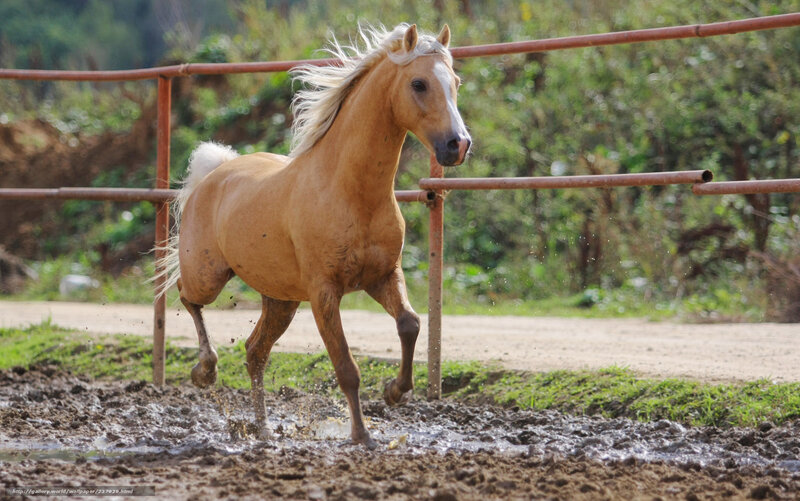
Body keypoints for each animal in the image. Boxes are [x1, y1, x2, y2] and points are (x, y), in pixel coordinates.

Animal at [157, 23, 471, 448]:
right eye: (419, 83)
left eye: (455, 82)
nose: (458, 144)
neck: (351, 192)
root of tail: (214, 173)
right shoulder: (324, 293)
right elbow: (346, 367)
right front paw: (361, 435)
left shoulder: (383, 276)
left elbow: (410, 323)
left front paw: (395, 392)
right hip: (208, 275)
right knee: (188, 297)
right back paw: (205, 371)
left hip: (281, 299)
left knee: (255, 352)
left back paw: (263, 429)